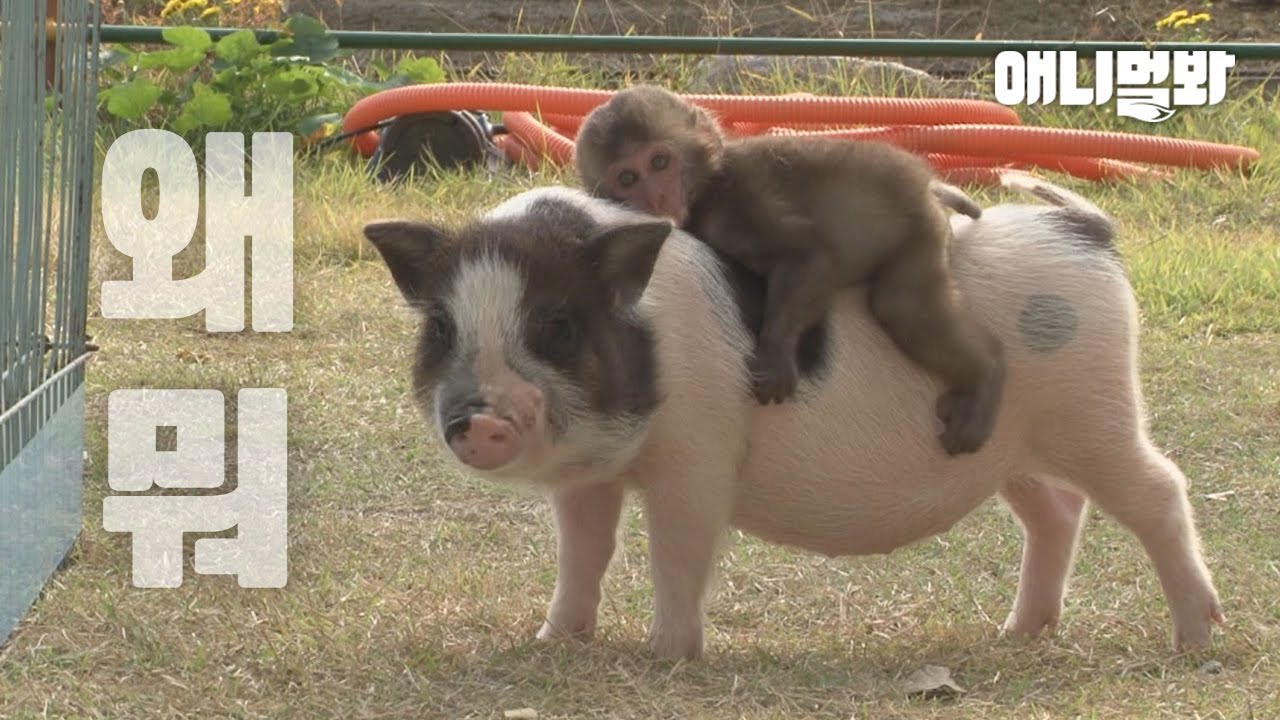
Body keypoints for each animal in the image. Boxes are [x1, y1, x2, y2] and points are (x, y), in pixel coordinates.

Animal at [366, 176, 1223, 661]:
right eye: (441, 328)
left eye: (557, 325)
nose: (478, 417)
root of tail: (1088, 233)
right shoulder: (590, 477)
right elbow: (585, 550)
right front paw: (551, 643)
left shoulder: (699, 455)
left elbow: (678, 551)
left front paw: (666, 657)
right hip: (1007, 447)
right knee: (1056, 511)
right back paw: (1018, 635)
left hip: (1098, 409)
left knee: (1159, 490)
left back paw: (1195, 639)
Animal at [576, 83, 1003, 453]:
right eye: (628, 178)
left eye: (660, 161)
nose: (658, 197)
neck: (707, 189)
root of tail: (929, 184)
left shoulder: (740, 201)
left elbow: (808, 256)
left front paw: (776, 351)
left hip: (920, 227)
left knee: (901, 305)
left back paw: (988, 375)